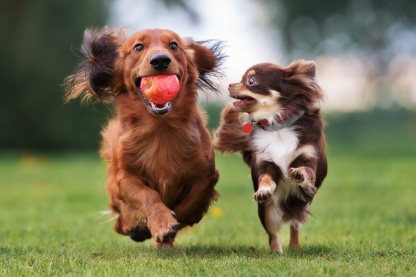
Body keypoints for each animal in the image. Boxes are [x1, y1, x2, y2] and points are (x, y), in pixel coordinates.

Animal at [66, 28, 224, 247]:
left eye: (174, 45)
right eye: (138, 47)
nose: (160, 60)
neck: (161, 129)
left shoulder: (206, 174)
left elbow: (193, 200)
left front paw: (177, 220)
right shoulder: (125, 178)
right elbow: (148, 195)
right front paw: (162, 223)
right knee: (120, 222)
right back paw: (137, 228)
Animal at [214, 59, 328, 252]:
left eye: (251, 81)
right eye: (241, 79)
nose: (230, 84)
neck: (277, 126)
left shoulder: (309, 158)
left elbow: (306, 170)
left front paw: (299, 173)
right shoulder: (265, 163)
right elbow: (266, 179)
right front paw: (263, 190)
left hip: (302, 204)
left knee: (294, 224)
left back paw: (294, 246)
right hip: (267, 211)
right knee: (273, 234)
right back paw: (276, 252)